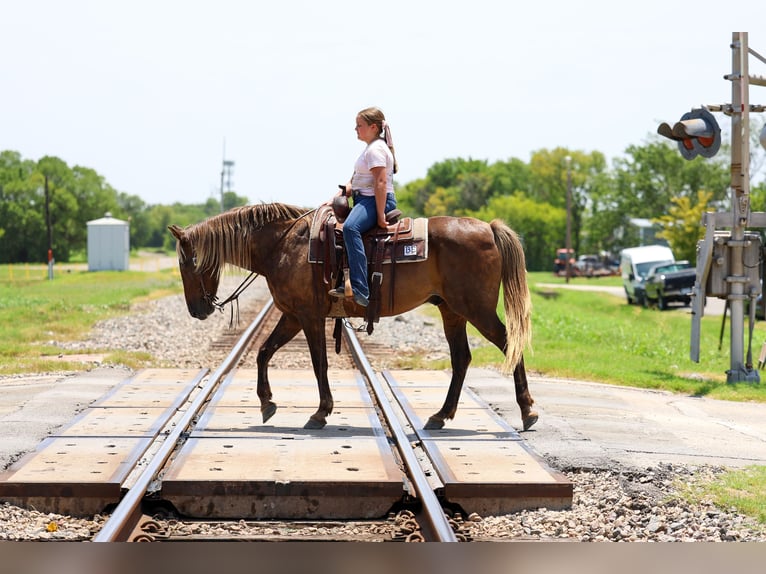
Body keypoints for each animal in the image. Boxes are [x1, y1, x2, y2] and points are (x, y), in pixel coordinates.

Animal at [168, 203, 537, 431]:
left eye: (186, 263)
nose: (196, 310)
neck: (283, 246)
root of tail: (488, 228)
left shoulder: (307, 316)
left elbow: (319, 363)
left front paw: (320, 412)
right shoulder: (291, 315)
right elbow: (263, 352)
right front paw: (266, 403)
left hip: (476, 310)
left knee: (509, 345)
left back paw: (528, 410)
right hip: (452, 311)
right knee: (462, 358)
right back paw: (440, 415)